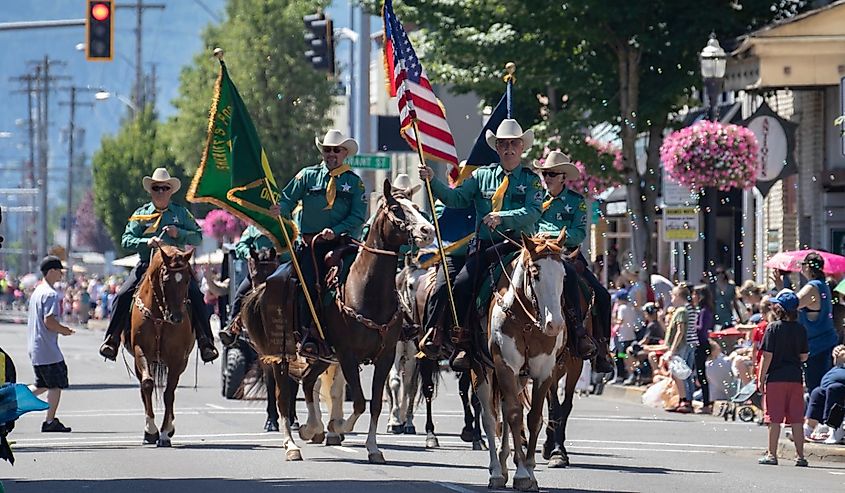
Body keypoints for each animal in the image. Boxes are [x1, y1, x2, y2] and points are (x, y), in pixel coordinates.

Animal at [129, 244, 196, 448]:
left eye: (187, 279)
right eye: (166, 280)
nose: (177, 318)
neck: (160, 316)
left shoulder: (177, 358)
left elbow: (169, 394)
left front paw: (165, 432)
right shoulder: (140, 351)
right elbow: (148, 384)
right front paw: (151, 430)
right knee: (143, 387)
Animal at [241, 180, 432, 462]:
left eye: (417, 208)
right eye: (397, 209)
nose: (427, 231)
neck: (366, 291)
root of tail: (265, 285)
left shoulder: (384, 356)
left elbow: (375, 403)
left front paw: (373, 448)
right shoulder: (347, 354)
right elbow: (360, 401)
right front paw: (340, 426)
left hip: (321, 354)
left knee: (308, 380)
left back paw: (312, 428)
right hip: (282, 354)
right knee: (283, 397)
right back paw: (291, 445)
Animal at [472, 230, 572, 488]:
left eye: (563, 275)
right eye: (536, 273)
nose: (555, 325)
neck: (526, 323)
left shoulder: (544, 371)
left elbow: (534, 417)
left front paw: (528, 470)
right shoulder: (505, 367)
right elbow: (515, 415)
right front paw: (522, 474)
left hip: (519, 379)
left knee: (506, 410)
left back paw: (506, 461)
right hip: (481, 370)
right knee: (491, 417)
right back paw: (497, 471)